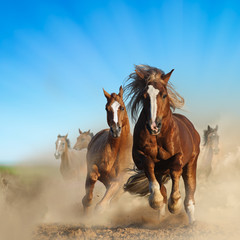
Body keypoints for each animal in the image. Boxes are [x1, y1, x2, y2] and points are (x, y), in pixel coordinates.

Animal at [81, 85, 132, 213]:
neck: (116, 150)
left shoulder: (118, 180)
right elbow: (92, 176)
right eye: (106, 108)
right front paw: (87, 201)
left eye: (122, 107)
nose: (115, 130)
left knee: (114, 200)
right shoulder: (93, 168)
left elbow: (101, 206)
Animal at [124, 64, 201, 224]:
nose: (153, 126)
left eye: (164, 95)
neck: (158, 137)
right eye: (144, 96)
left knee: (190, 192)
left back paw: (192, 221)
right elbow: (150, 170)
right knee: (162, 188)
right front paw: (156, 201)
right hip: (161, 171)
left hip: (192, 163)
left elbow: (175, 171)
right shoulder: (142, 157)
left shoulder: (179, 157)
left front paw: (175, 204)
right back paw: (161, 216)